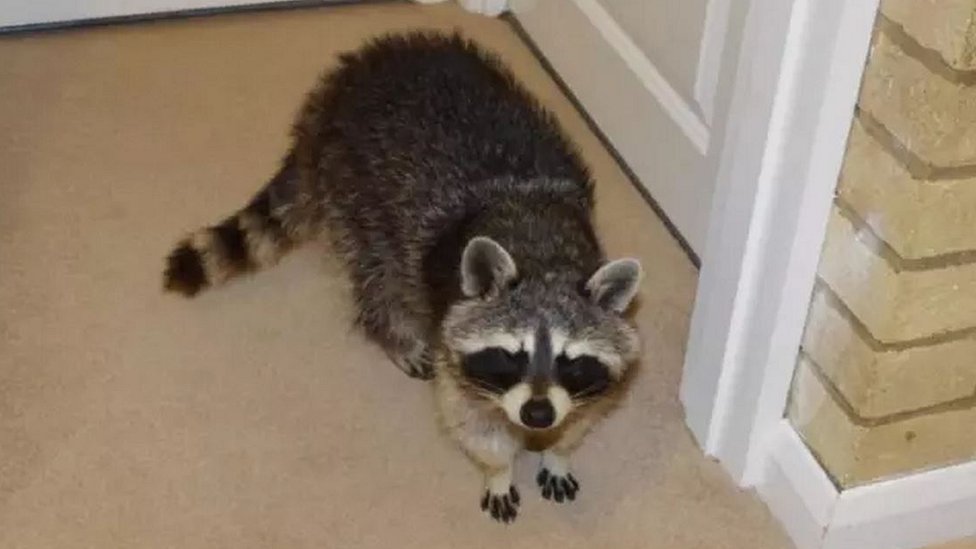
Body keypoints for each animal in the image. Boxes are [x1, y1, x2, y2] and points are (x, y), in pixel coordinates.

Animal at [163, 31, 642, 523]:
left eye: (570, 359)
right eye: (512, 354)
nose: (538, 415)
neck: (543, 258)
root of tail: (345, 79)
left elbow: (585, 413)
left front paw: (558, 451)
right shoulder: (452, 337)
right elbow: (470, 421)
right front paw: (498, 469)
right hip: (354, 187)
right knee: (378, 274)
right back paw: (391, 331)